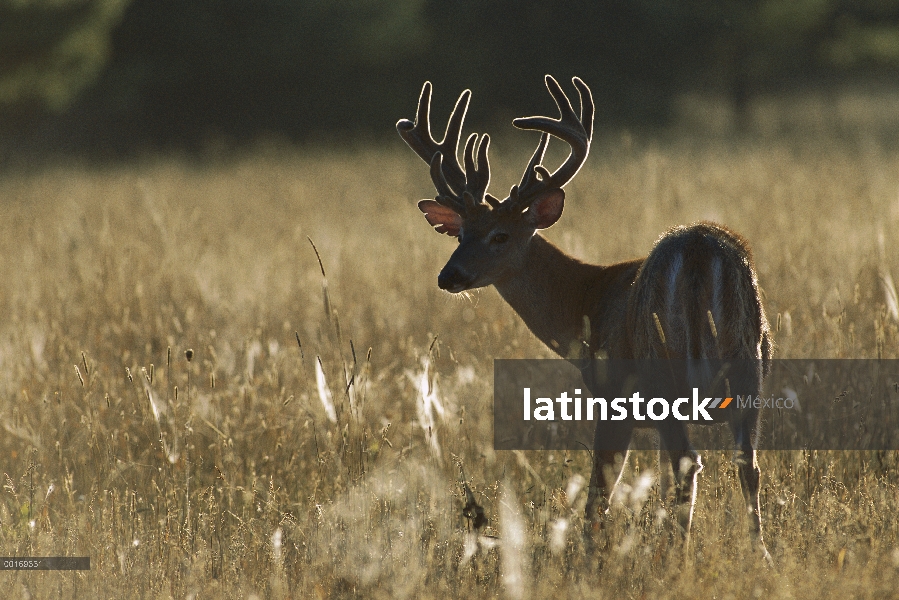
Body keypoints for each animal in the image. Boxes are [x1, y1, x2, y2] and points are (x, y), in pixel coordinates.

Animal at [400, 75, 772, 556]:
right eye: (460, 233)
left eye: (500, 235)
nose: (449, 275)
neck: (589, 299)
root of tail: (698, 250)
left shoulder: (613, 393)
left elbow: (600, 491)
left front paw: (591, 554)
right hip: (750, 363)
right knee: (746, 464)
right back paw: (759, 554)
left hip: (661, 368)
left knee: (688, 463)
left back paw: (680, 555)